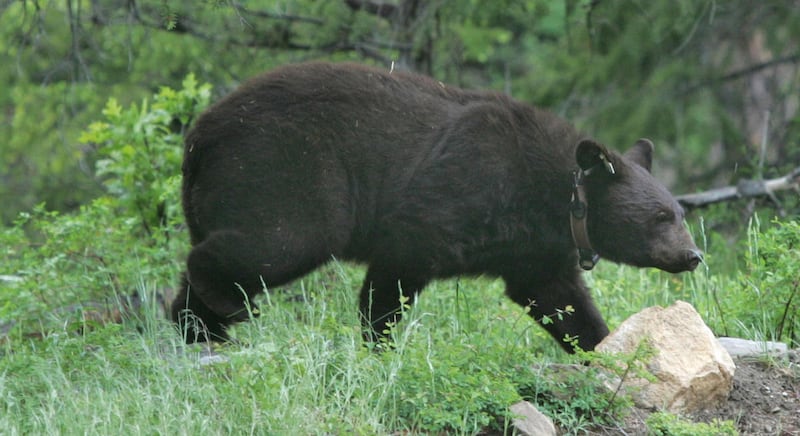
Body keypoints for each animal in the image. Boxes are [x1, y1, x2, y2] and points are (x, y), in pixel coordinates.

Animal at [171, 61, 702, 353]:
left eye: (680, 214)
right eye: (660, 217)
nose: (692, 256)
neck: (552, 197)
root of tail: (199, 137)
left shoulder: (532, 250)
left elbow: (559, 300)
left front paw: (600, 345)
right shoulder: (454, 192)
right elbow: (396, 271)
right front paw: (378, 343)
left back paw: (197, 328)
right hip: (282, 170)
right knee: (272, 243)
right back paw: (227, 308)